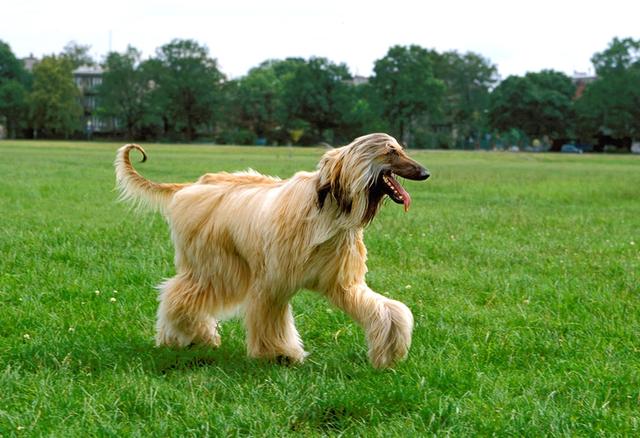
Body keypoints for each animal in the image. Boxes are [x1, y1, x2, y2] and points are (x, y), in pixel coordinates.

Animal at [115, 133, 430, 366]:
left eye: (401, 149)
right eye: (391, 152)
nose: (426, 172)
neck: (330, 210)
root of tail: (192, 186)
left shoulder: (340, 279)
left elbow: (385, 309)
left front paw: (390, 351)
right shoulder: (274, 279)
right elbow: (270, 313)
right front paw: (280, 353)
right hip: (217, 264)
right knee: (181, 293)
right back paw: (185, 336)